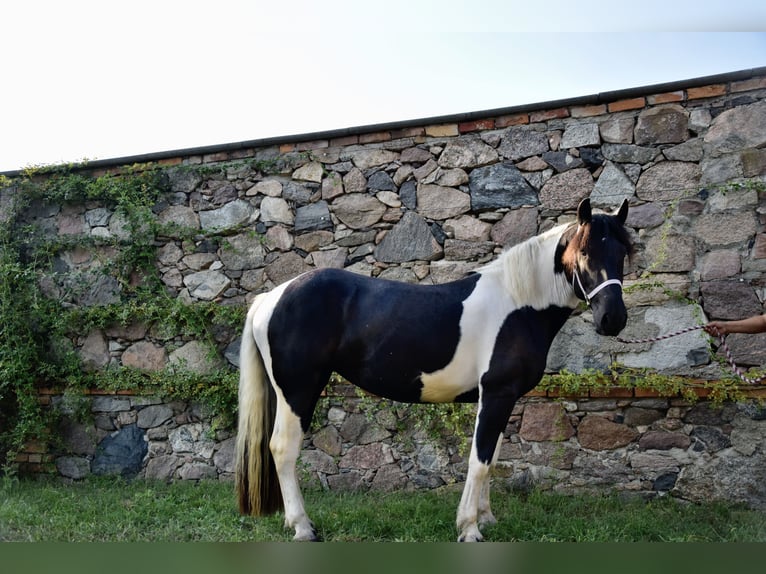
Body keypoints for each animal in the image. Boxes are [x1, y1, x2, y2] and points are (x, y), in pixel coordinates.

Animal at [237, 197, 632, 540]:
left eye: (623, 252)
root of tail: (271, 297)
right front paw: (469, 528)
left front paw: (486, 518)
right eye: (585, 252)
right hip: (298, 391)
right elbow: (480, 461)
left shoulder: (501, 399)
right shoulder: (497, 393)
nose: (612, 319)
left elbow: (492, 456)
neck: (518, 305)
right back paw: (303, 527)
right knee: (283, 449)